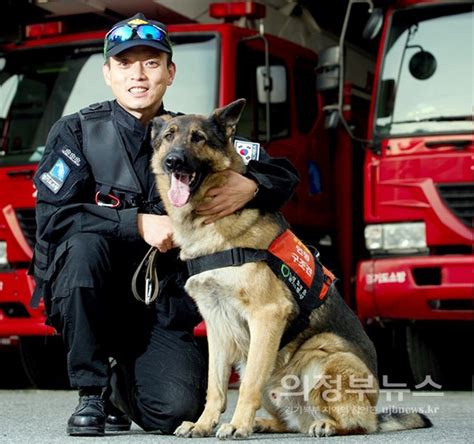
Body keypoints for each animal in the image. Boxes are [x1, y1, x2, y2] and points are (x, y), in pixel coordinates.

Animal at [150, 99, 432, 438]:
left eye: (198, 138)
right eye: (168, 136)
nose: (173, 161)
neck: (211, 226)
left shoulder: (267, 314)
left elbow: (248, 385)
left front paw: (237, 425)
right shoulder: (216, 325)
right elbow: (215, 386)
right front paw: (204, 424)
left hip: (325, 355)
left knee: (357, 423)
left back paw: (324, 425)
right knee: (291, 421)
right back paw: (267, 423)